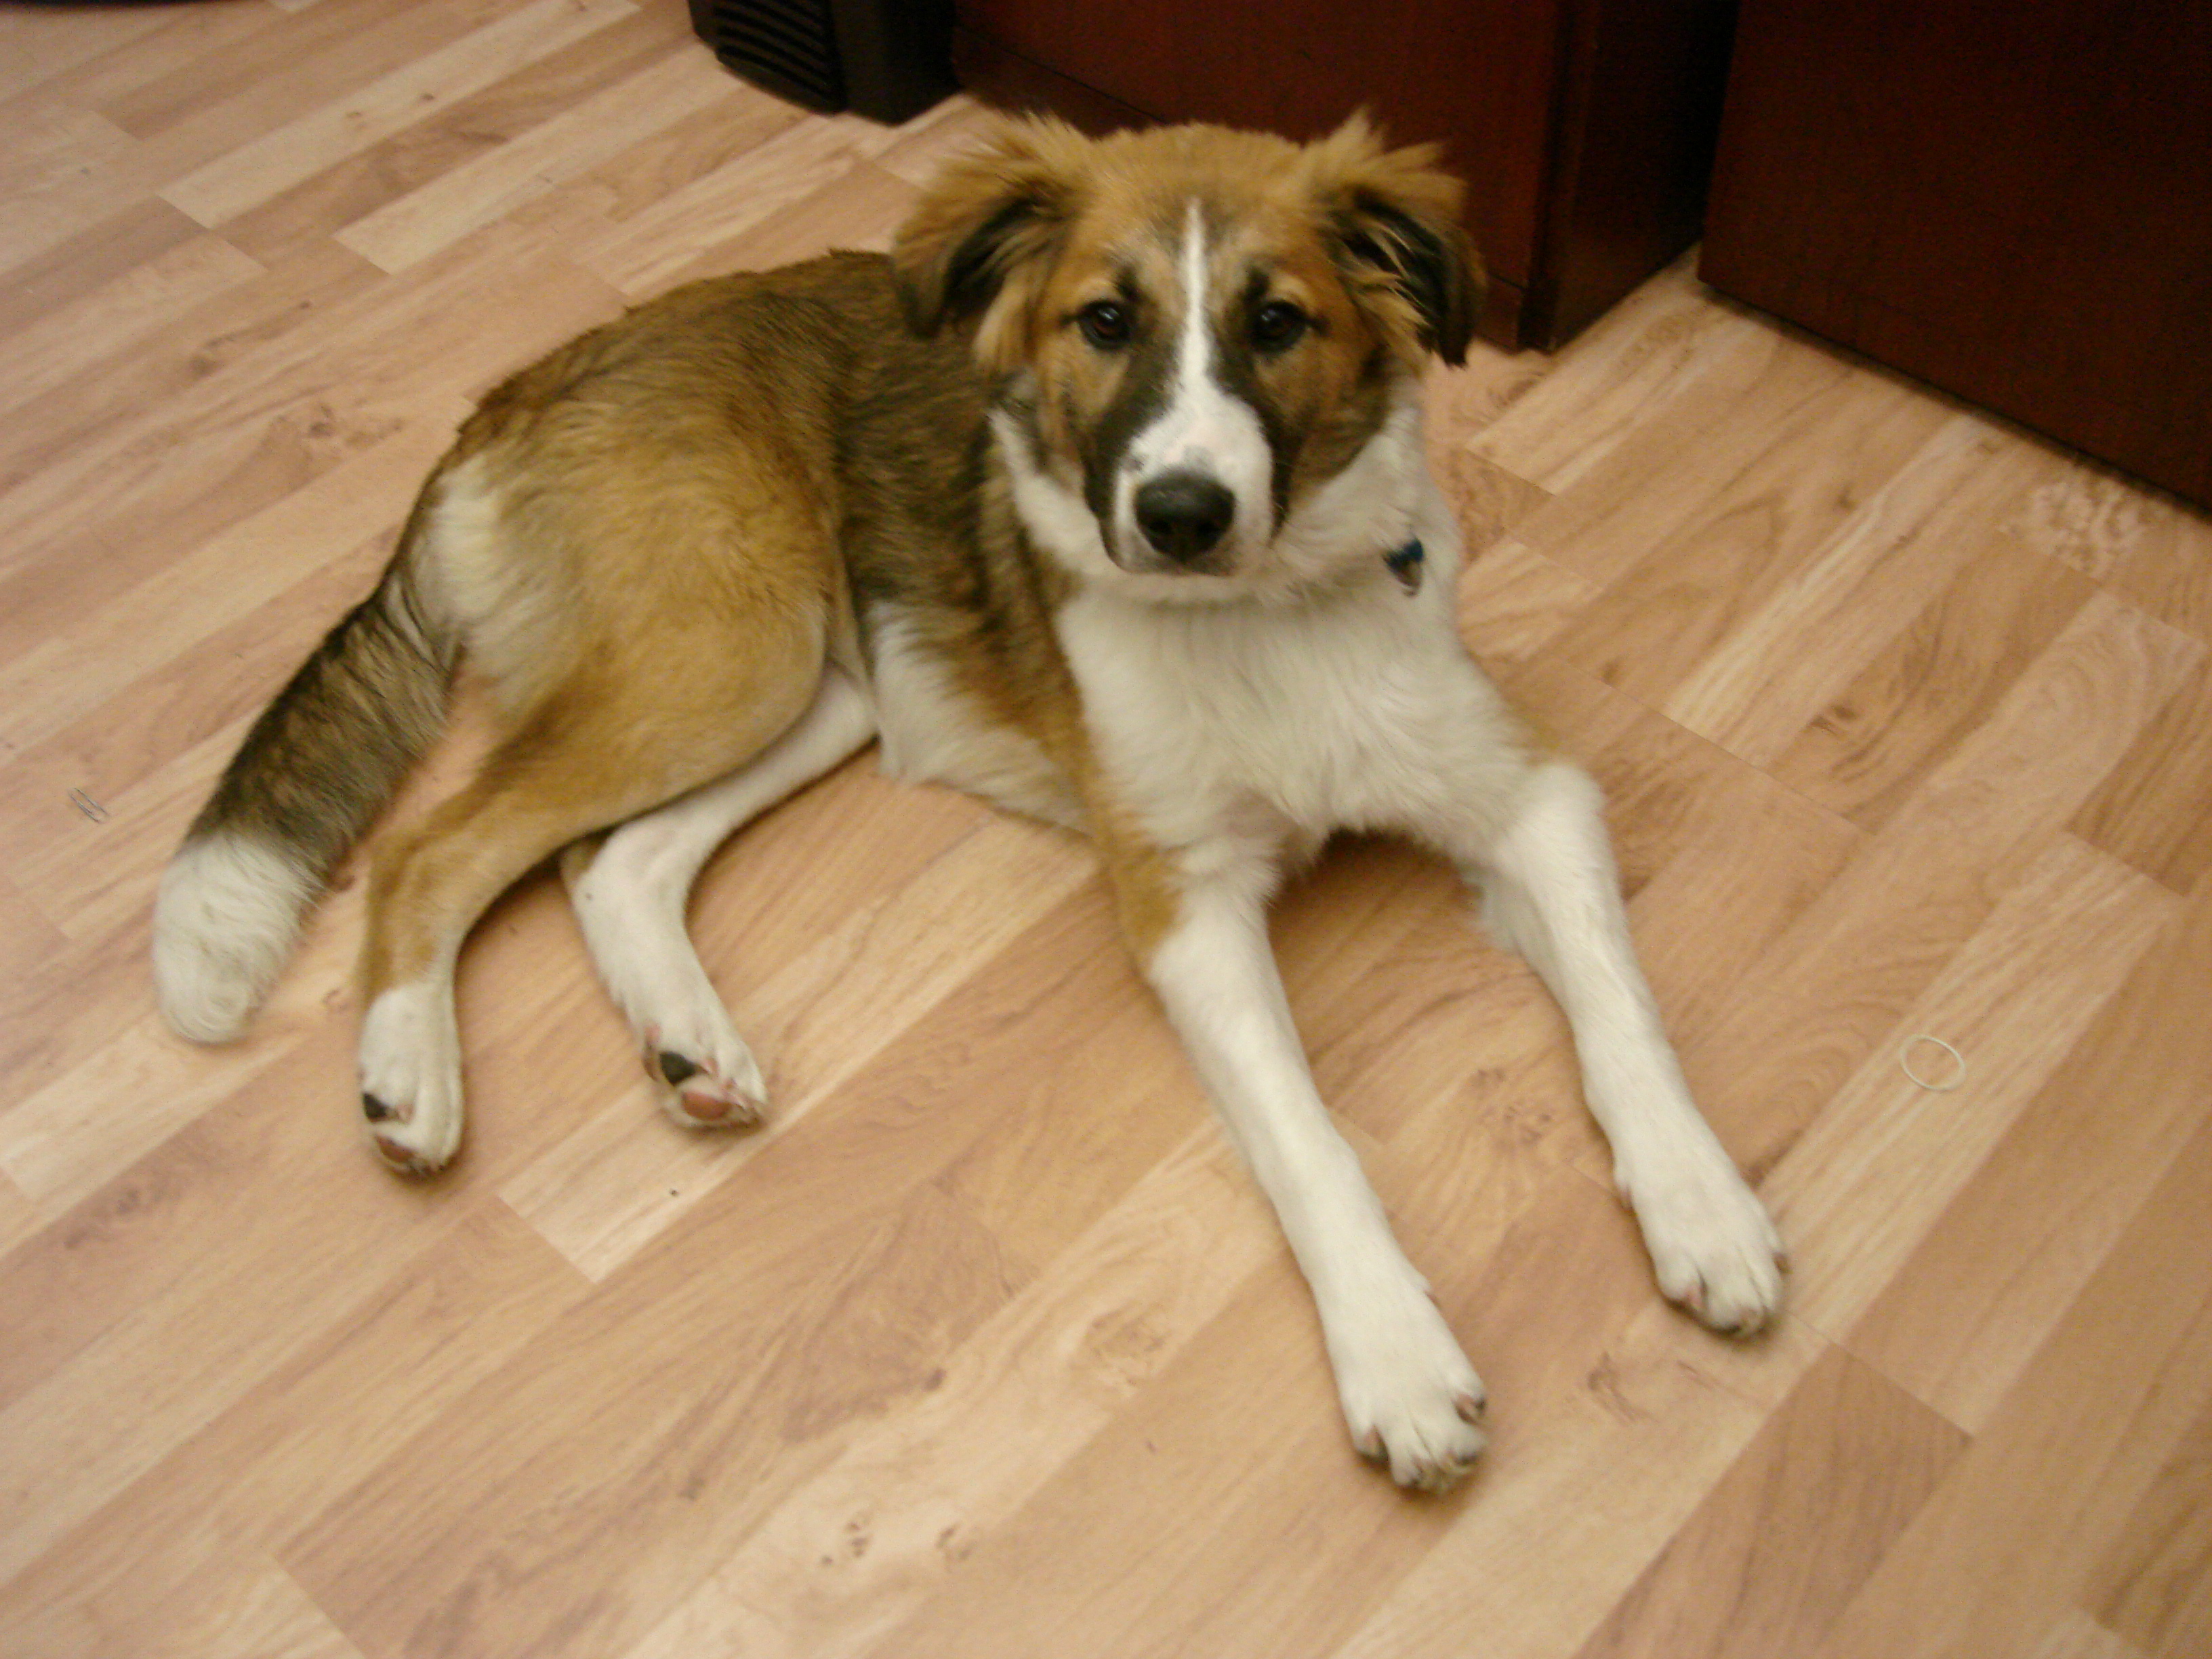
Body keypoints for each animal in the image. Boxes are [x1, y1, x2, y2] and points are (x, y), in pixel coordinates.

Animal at [152, 115, 1784, 1490]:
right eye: (1105, 322)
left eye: (1277, 323)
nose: (1178, 516)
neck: (1257, 619)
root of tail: (520, 382)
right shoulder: (1182, 903)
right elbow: (1310, 1137)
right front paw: (1394, 1352)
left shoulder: (1527, 796)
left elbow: (1622, 1014)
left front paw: (1701, 1203)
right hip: (725, 651)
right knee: (433, 850)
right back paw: (409, 1074)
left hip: (823, 680)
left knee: (614, 862)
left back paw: (689, 1043)